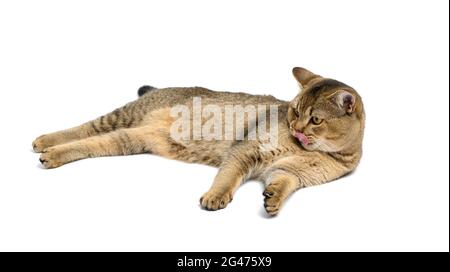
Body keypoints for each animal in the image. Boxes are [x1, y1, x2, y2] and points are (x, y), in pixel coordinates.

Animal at [32, 67, 366, 215]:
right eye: (295, 110)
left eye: (315, 120)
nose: (295, 126)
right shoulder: (246, 150)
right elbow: (227, 177)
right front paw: (216, 196)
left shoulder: (293, 172)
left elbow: (282, 182)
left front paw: (273, 199)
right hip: (124, 116)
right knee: (85, 127)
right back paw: (45, 142)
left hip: (130, 139)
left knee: (92, 143)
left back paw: (52, 154)